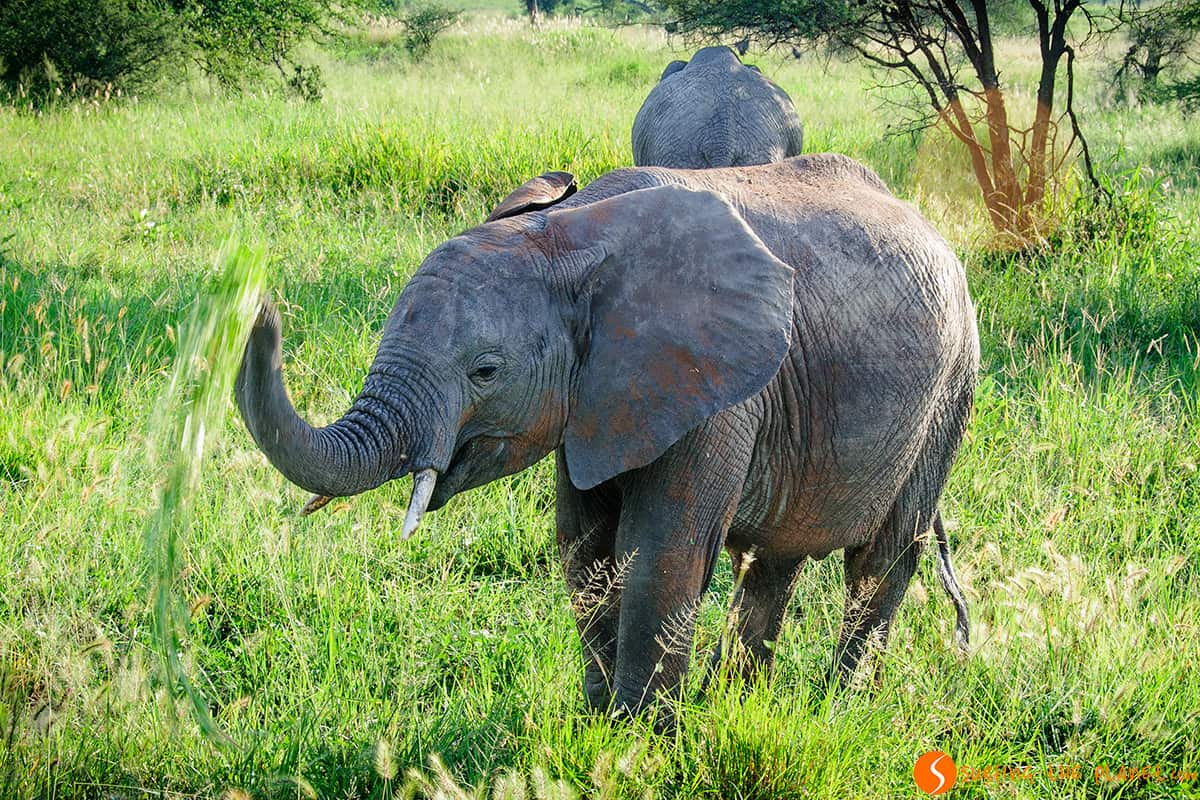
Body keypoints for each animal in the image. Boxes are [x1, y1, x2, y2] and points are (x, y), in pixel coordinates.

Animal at [236, 154, 978, 723]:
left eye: (485, 372)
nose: (260, 306)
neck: (571, 234)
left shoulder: (716, 391)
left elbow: (658, 555)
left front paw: (639, 745)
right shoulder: (596, 400)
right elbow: (586, 552)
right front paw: (599, 726)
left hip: (948, 394)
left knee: (881, 562)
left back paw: (837, 710)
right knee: (776, 560)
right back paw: (737, 703)